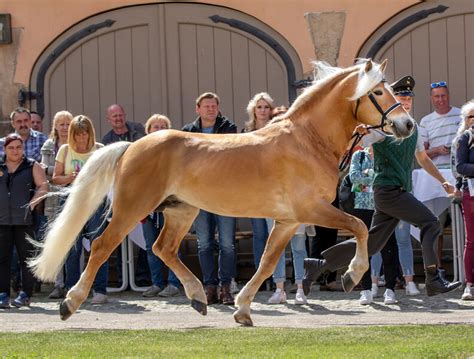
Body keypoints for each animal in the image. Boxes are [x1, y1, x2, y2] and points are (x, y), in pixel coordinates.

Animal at [29, 59, 414, 326]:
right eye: (377, 92)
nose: (407, 124)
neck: (307, 141)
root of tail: (131, 146)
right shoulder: (310, 210)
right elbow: (360, 227)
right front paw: (351, 275)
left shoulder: (288, 221)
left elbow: (267, 263)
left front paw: (242, 309)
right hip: (131, 209)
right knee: (101, 247)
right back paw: (69, 303)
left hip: (182, 211)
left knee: (163, 249)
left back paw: (199, 297)